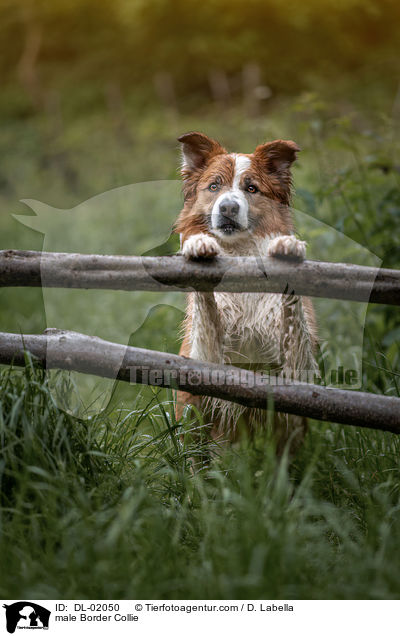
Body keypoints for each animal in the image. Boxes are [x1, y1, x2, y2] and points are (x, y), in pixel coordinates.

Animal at [173, 133, 318, 452]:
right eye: (214, 186)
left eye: (251, 188)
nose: (228, 208)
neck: (240, 256)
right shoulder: (207, 362)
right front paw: (197, 245)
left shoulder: (297, 368)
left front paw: (288, 249)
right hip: (190, 416)